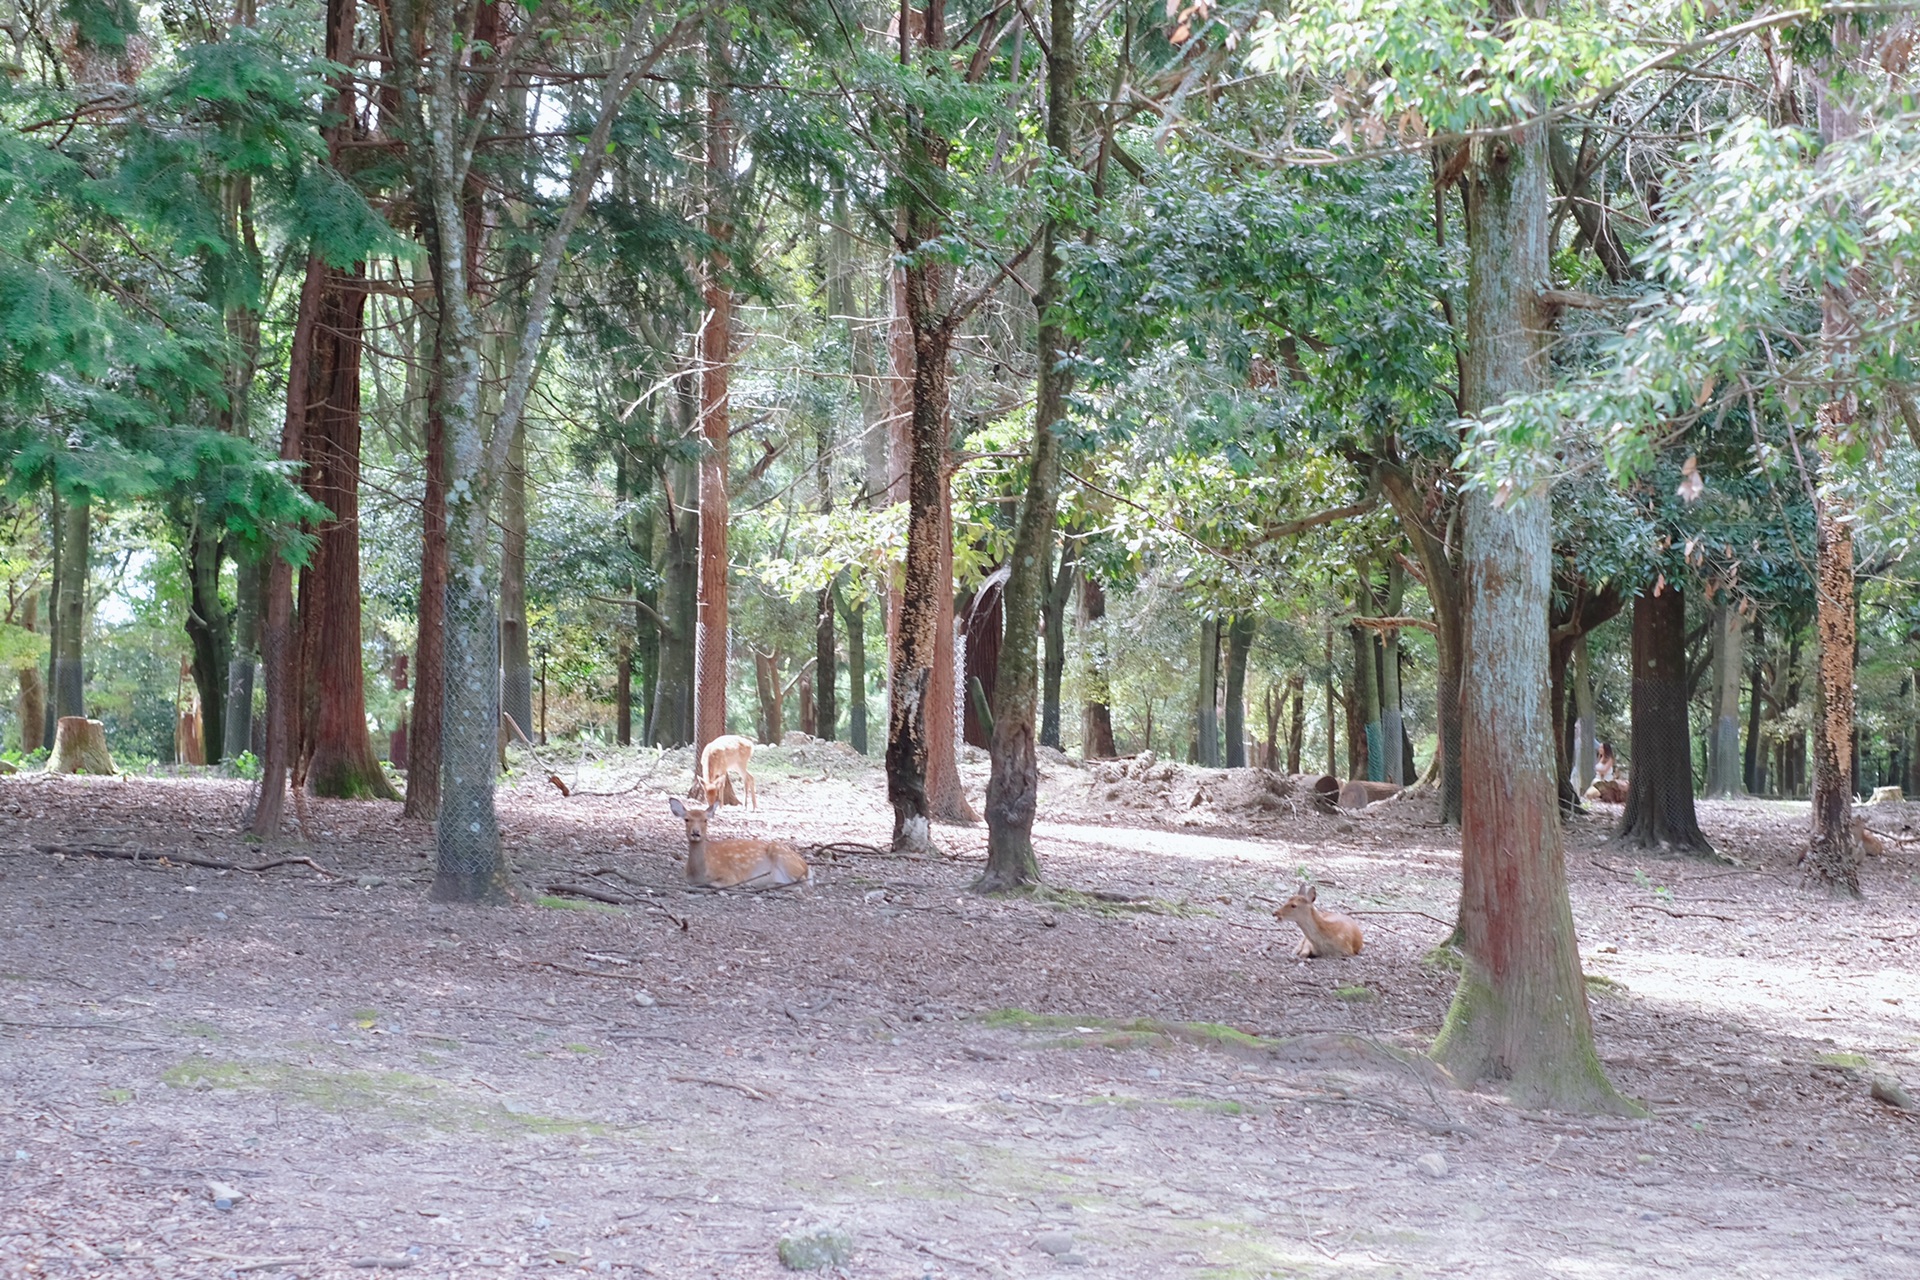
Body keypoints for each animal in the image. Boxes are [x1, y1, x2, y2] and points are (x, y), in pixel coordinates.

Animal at [668, 802, 810, 890]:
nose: (696, 833)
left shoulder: (730, 875)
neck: (699, 875)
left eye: (705, 820)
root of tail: (806, 868)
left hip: (783, 856)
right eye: (686, 819)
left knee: (803, 884)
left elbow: (714, 884)